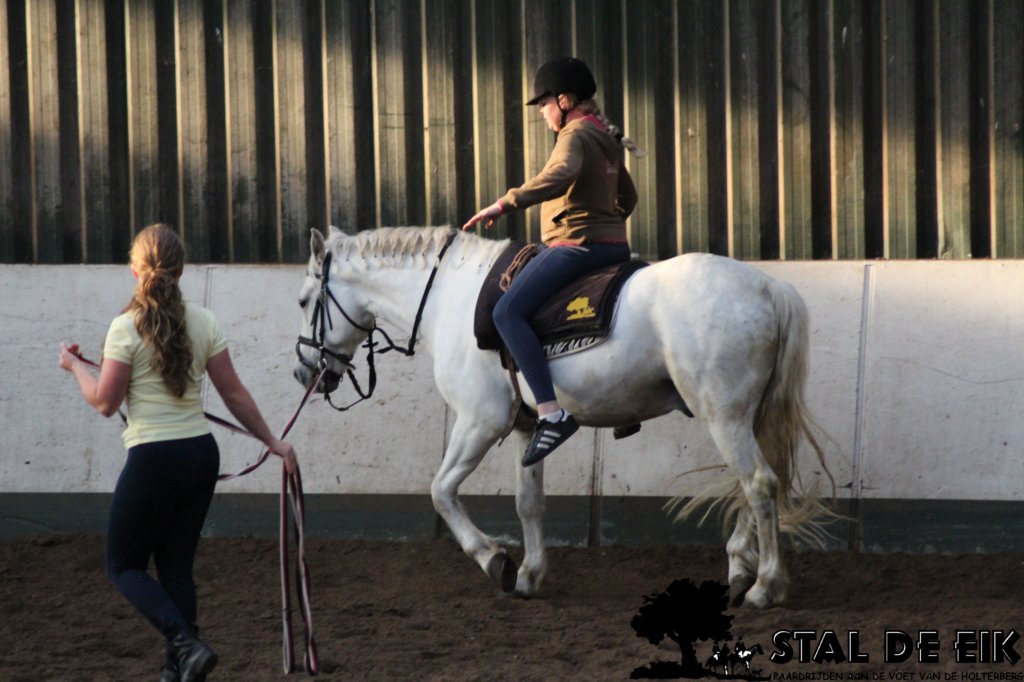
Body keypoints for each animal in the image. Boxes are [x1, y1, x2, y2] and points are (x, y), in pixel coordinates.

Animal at [292, 225, 833, 608]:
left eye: (303, 300)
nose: (303, 371)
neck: (450, 297)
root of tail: (769, 287)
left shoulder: (479, 421)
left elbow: (441, 491)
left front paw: (495, 560)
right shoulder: (526, 428)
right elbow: (528, 503)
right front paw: (529, 575)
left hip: (724, 416)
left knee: (759, 483)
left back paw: (765, 586)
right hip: (747, 417)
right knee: (758, 484)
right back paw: (741, 569)